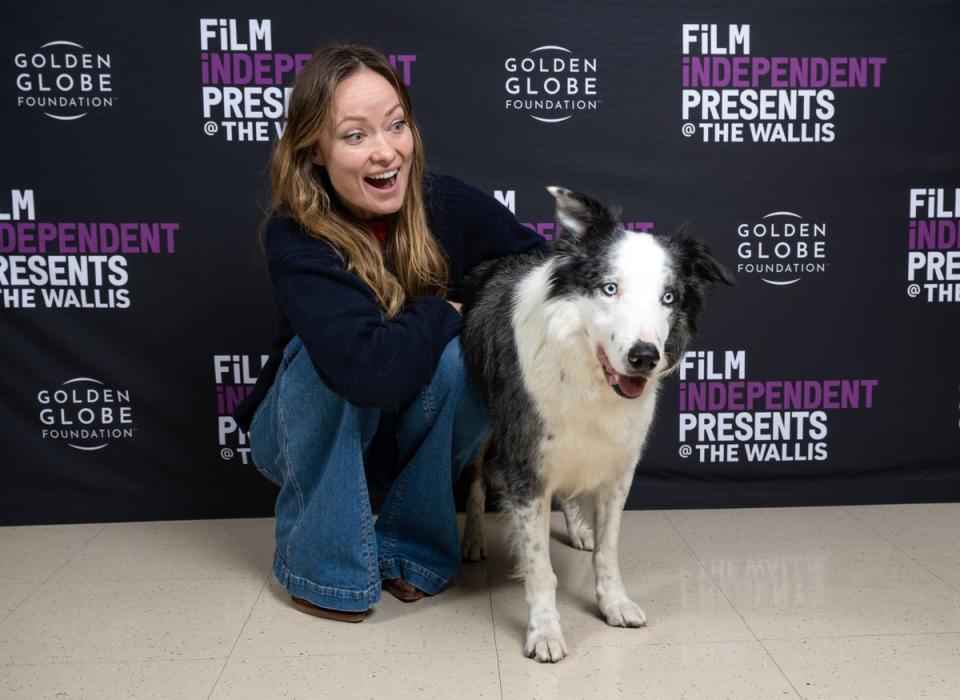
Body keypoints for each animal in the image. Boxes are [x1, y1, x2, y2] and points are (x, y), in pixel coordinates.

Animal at [462, 185, 732, 660]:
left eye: (669, 298)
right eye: (610, 288)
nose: (644, 358)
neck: (586, 370)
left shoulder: (617, 467)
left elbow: (607, 551)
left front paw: (614, 603)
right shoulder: (526, 464)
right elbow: (540, 567)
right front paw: (545, 631)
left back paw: (578, 529)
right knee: (476, 482)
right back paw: (474, 541)